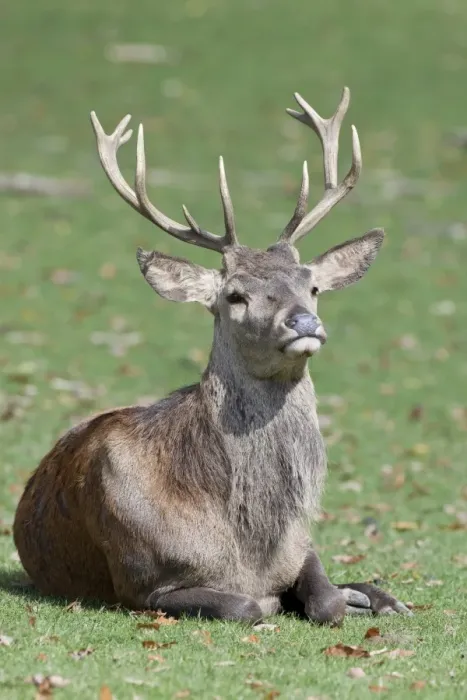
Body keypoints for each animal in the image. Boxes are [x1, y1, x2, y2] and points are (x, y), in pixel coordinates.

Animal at [14, 87, 411, 626]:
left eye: (312, 286)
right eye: (235, 296)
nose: (304, 323)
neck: (248, 541)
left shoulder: (301, 543)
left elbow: (326, 600)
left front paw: (353, 596)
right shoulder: (141, 581)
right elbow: (246, 604)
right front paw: (272, 600)